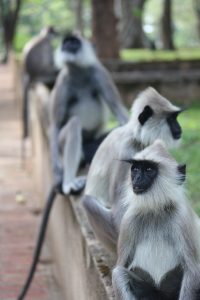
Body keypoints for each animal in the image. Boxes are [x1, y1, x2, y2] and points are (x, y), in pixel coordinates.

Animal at [83, 87, 184, 253]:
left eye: (176, 118)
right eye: (171, 119)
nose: (179, 128)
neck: (135, 137)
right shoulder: (127, 153)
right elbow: (120, 213)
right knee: (88, 202)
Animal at [112, 141, 200, 300]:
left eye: (148, 169)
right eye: (135, 169)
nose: (136, 179)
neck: (155, 210)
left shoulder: (181, 218)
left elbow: (192, 271)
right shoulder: (129, 220)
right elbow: (120, 266)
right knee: (119, 274)